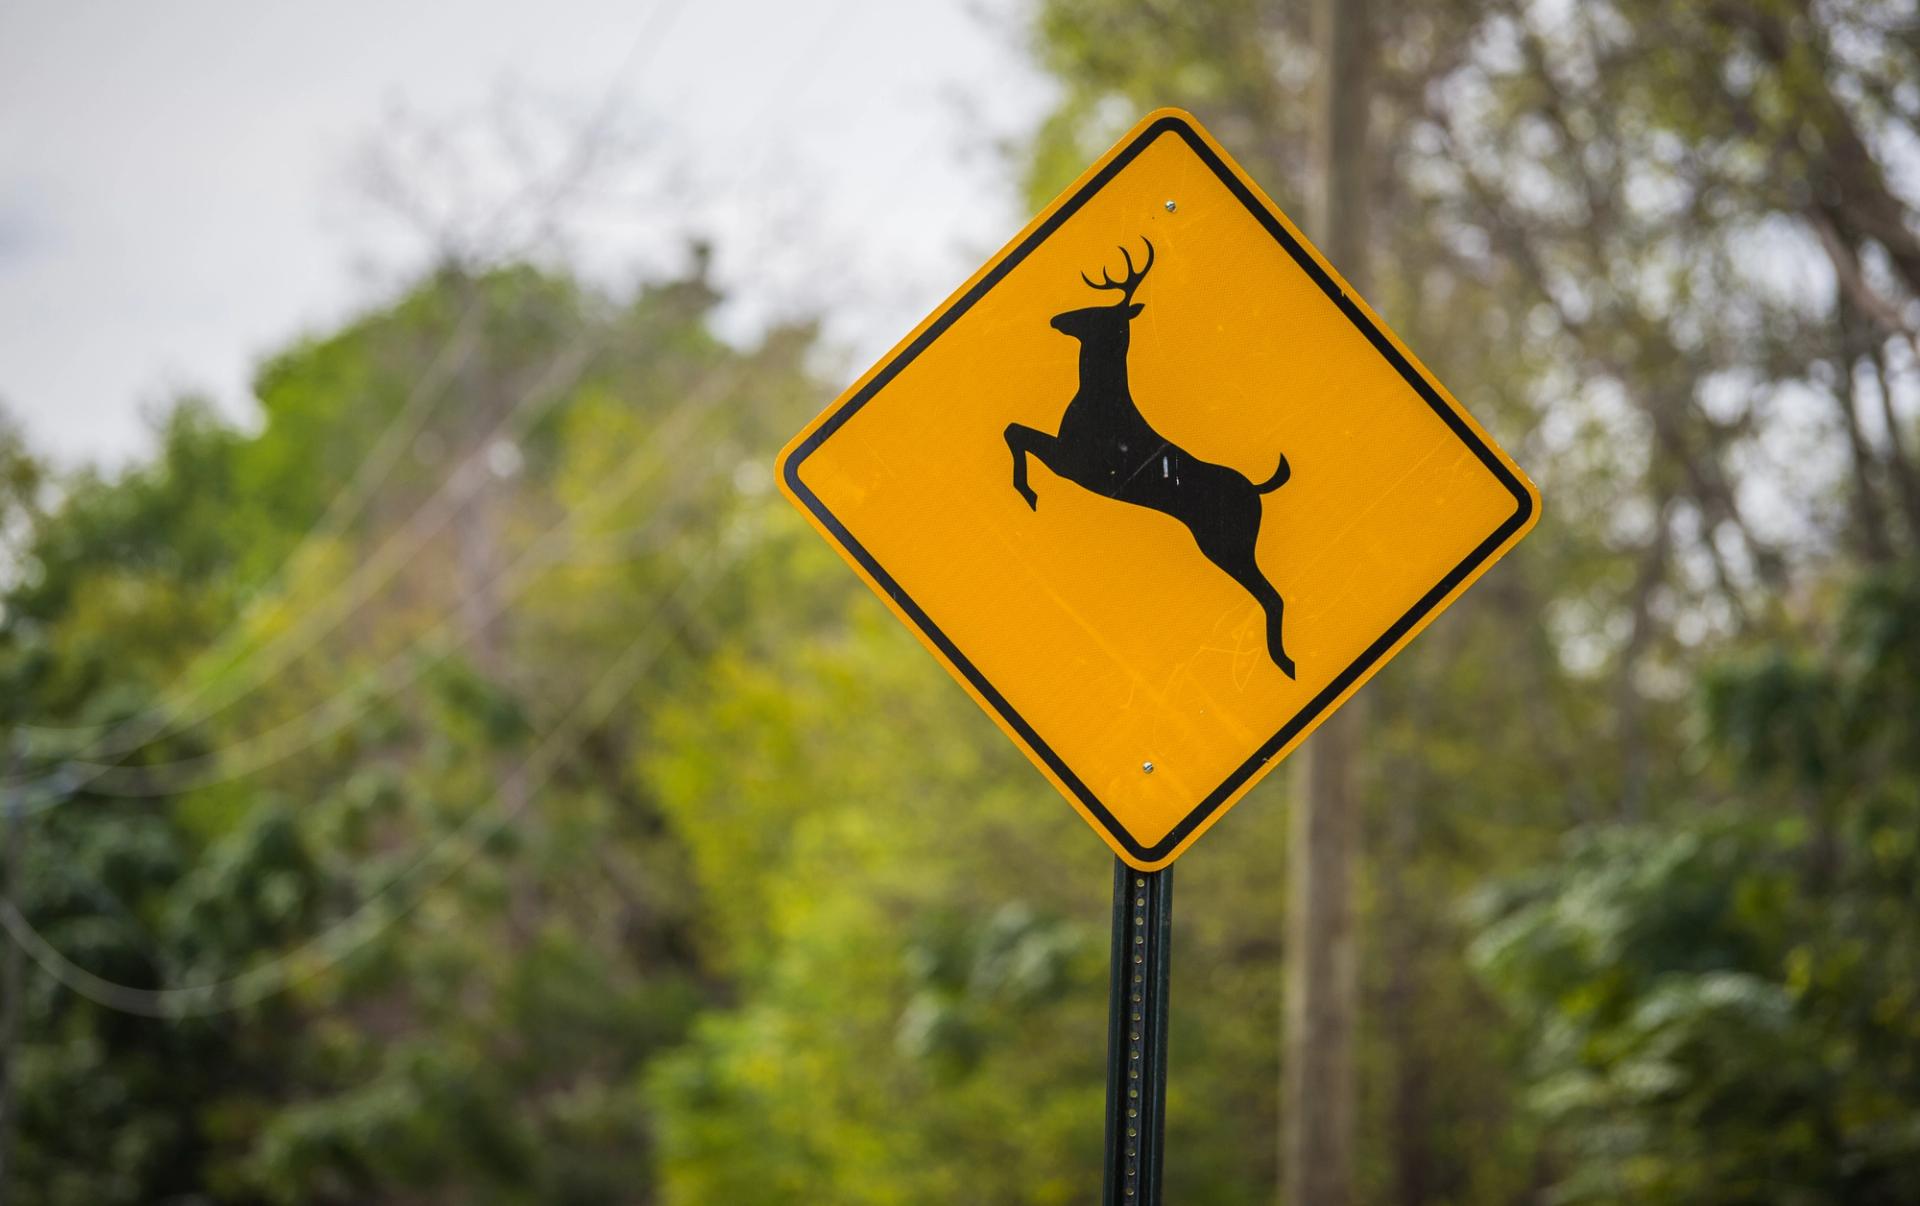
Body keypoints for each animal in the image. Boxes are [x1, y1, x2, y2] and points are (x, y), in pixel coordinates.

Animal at [1003, 237, 1298, 678]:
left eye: (1097, 312)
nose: (1057, 319)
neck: (1099, 396)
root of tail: (1258, 490)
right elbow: (1014, 430)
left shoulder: (1075, 464)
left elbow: (1014, 431)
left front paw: (1028, 492)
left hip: (1228, 542)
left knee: (1272, 595)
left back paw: (1285, 663)